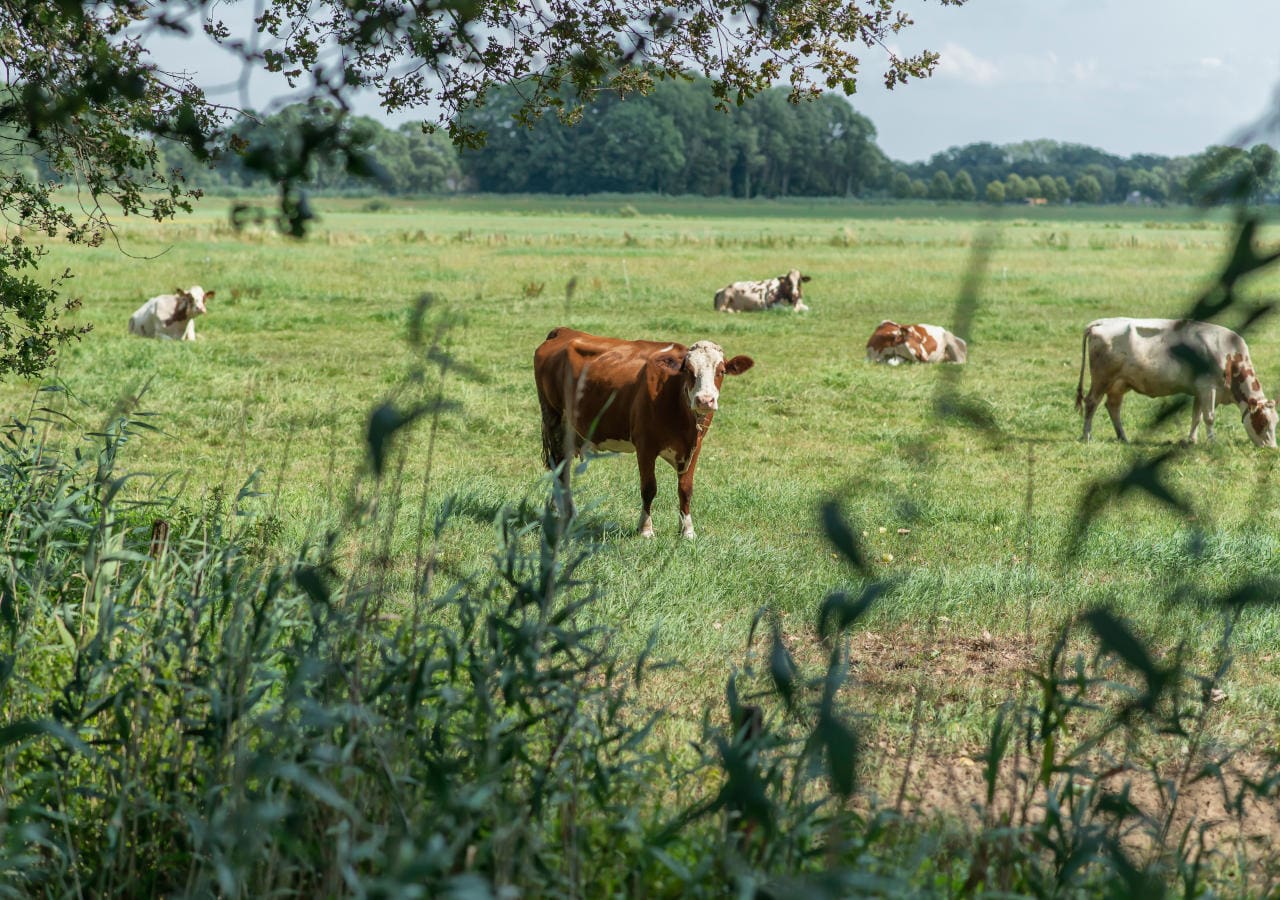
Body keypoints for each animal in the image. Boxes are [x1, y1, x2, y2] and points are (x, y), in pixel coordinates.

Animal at [529, 330, 747, 542]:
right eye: (688, 371)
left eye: (721, 371)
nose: (705, 400)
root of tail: (563, 332)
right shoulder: (645, 446)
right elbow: (649, 488)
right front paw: (645, 529)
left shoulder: (695, 446)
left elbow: (685, 489)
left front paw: (687, 531)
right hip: (554, 418)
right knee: (559, 465)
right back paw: (561, 512)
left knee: (564, 466)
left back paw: (567, 512)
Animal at [1075, 317, 1274, 448]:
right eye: (1263, 421)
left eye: (1275, 423)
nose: (1273, 448)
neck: (1230, 357)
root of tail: (1101, 322)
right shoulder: (1208, 388)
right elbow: (1209, 417)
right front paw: (1212, 442)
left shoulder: (1200, 391)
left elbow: (1197, 417)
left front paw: (1192, 440)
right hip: (1102, 379)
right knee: (1091, 402)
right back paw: (1087, 436)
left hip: (1119, 383)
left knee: (1113, 406)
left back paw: (1123, 437)